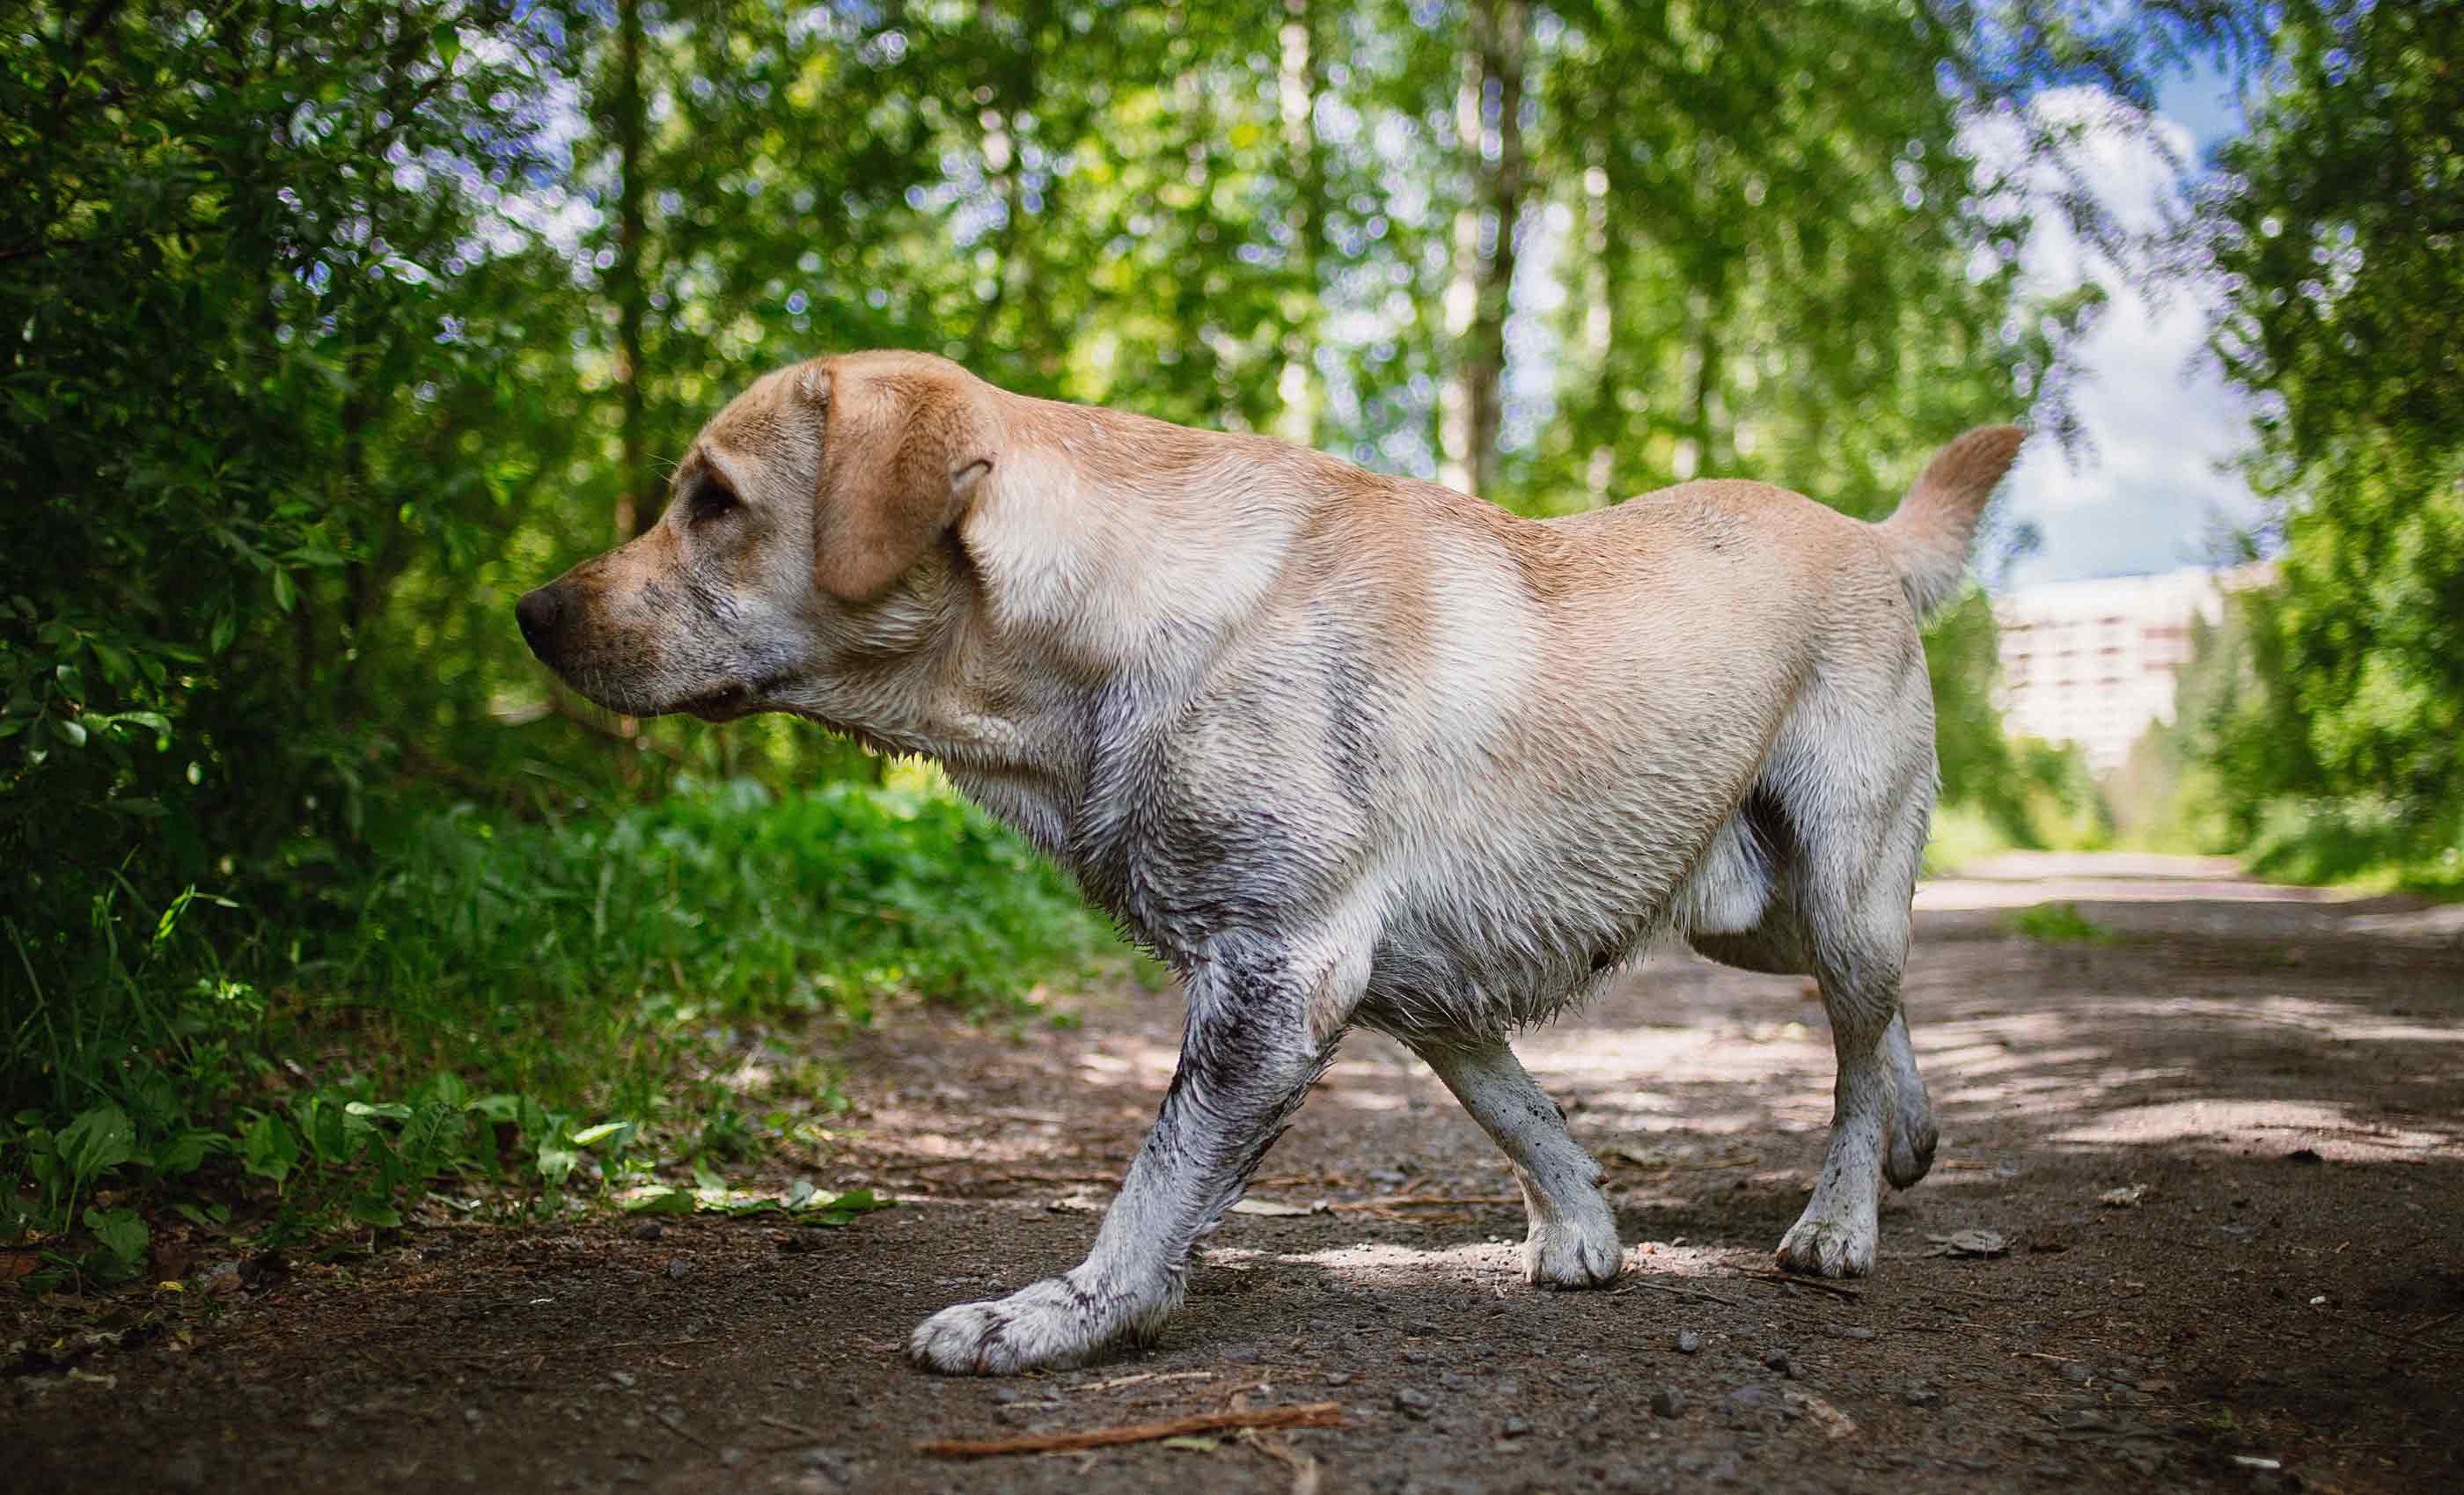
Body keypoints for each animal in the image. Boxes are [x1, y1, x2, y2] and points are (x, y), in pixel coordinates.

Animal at [515, 349, 2020, 1379]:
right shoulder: (1409, 991)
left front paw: (1053, 1315)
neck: (1125, 626)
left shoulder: (1280, 975)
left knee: (1853, 1034)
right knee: (1877, 1015)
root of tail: (1869, 534)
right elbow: (1525, 1115)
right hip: (1744, 912)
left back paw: (1841, 1215)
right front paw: (1584, 1229)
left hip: (1839, 877)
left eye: (714, 501)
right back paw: (1912, 1131)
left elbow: (1153, 1189)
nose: (529, 610)